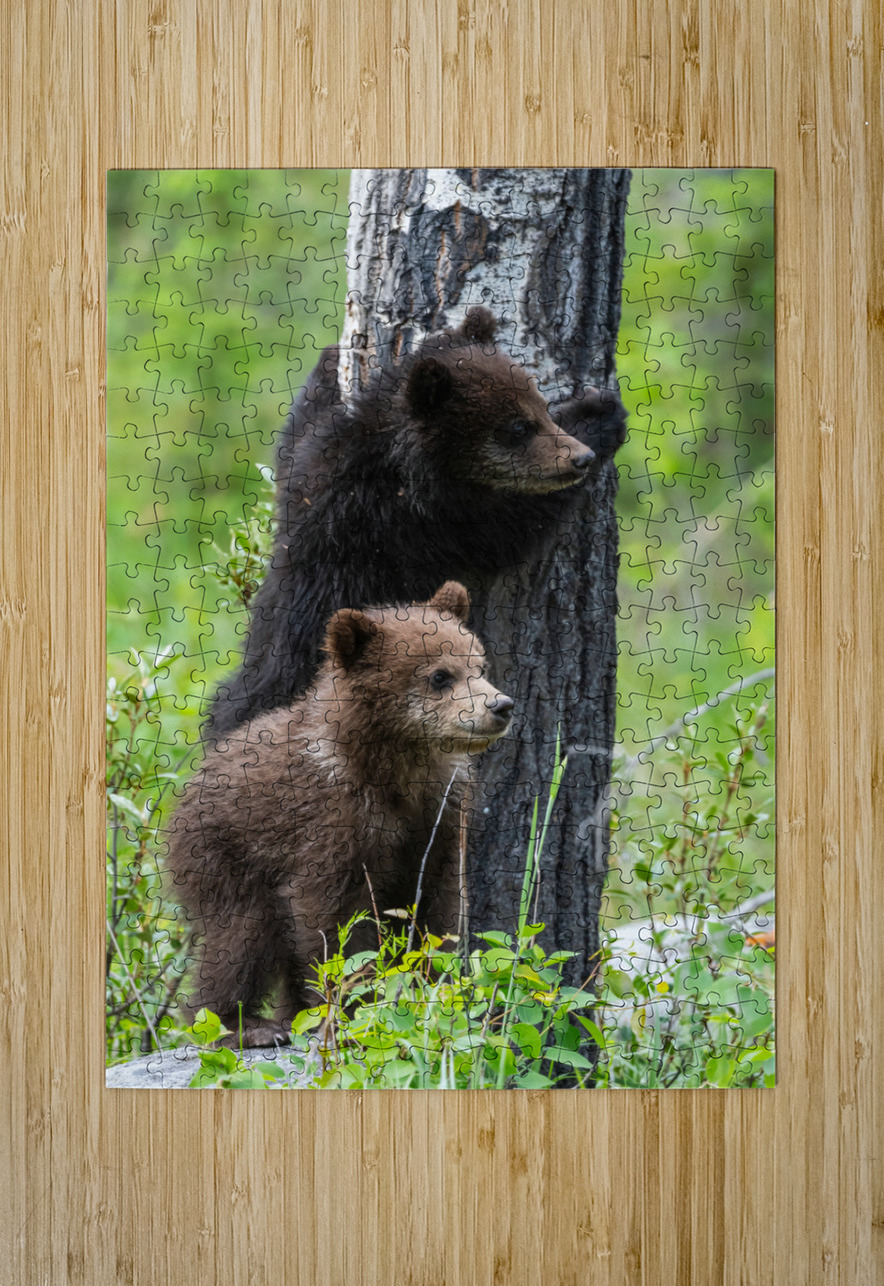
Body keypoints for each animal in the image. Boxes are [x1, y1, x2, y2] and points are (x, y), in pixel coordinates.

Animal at [167, 581, 513, 1047]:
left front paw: (435, 991)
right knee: (241, 934)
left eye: (478, 664)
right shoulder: (333, 819)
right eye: (440, 675)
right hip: (224, 854)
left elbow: (436, 905)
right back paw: (238, 1024)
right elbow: (332, 918)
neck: (397, 769)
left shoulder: (440, 814)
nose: (500, 706)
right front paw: (353, 1006)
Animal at [207, 306, 627, 735]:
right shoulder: (414, 523)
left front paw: (327, 363)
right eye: (518, 427)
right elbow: (511, 527)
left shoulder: (313, 472)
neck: (407, 465)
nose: (580, 457)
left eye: (540, 405)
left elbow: (297, 439)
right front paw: (599, 415)